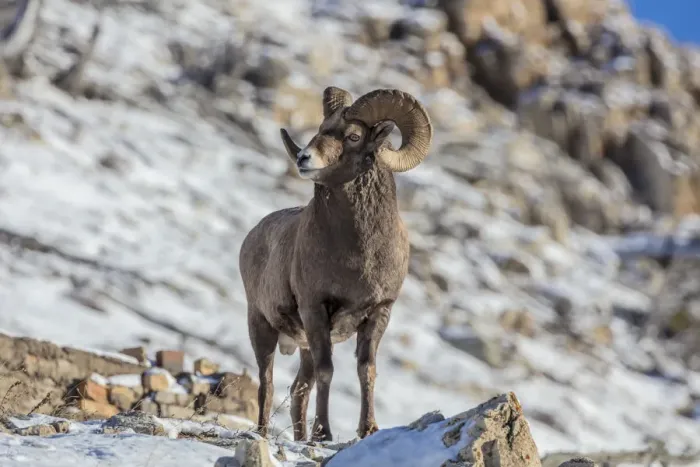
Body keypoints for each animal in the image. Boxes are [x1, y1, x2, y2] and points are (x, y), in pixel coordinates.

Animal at [238, 86, 433, 442]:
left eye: (354, 136)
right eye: (320, 128)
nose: (304, 159)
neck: (358, 256)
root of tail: (253, 235)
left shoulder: (378, 313)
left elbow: (366, 369)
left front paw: (368, 429)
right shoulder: (316, 310)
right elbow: (328, 370)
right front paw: (323, 434)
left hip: (302, 344)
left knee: (299, 388)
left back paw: (300, 438)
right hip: (261, 326)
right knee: (267, 384)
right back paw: (264, 433)